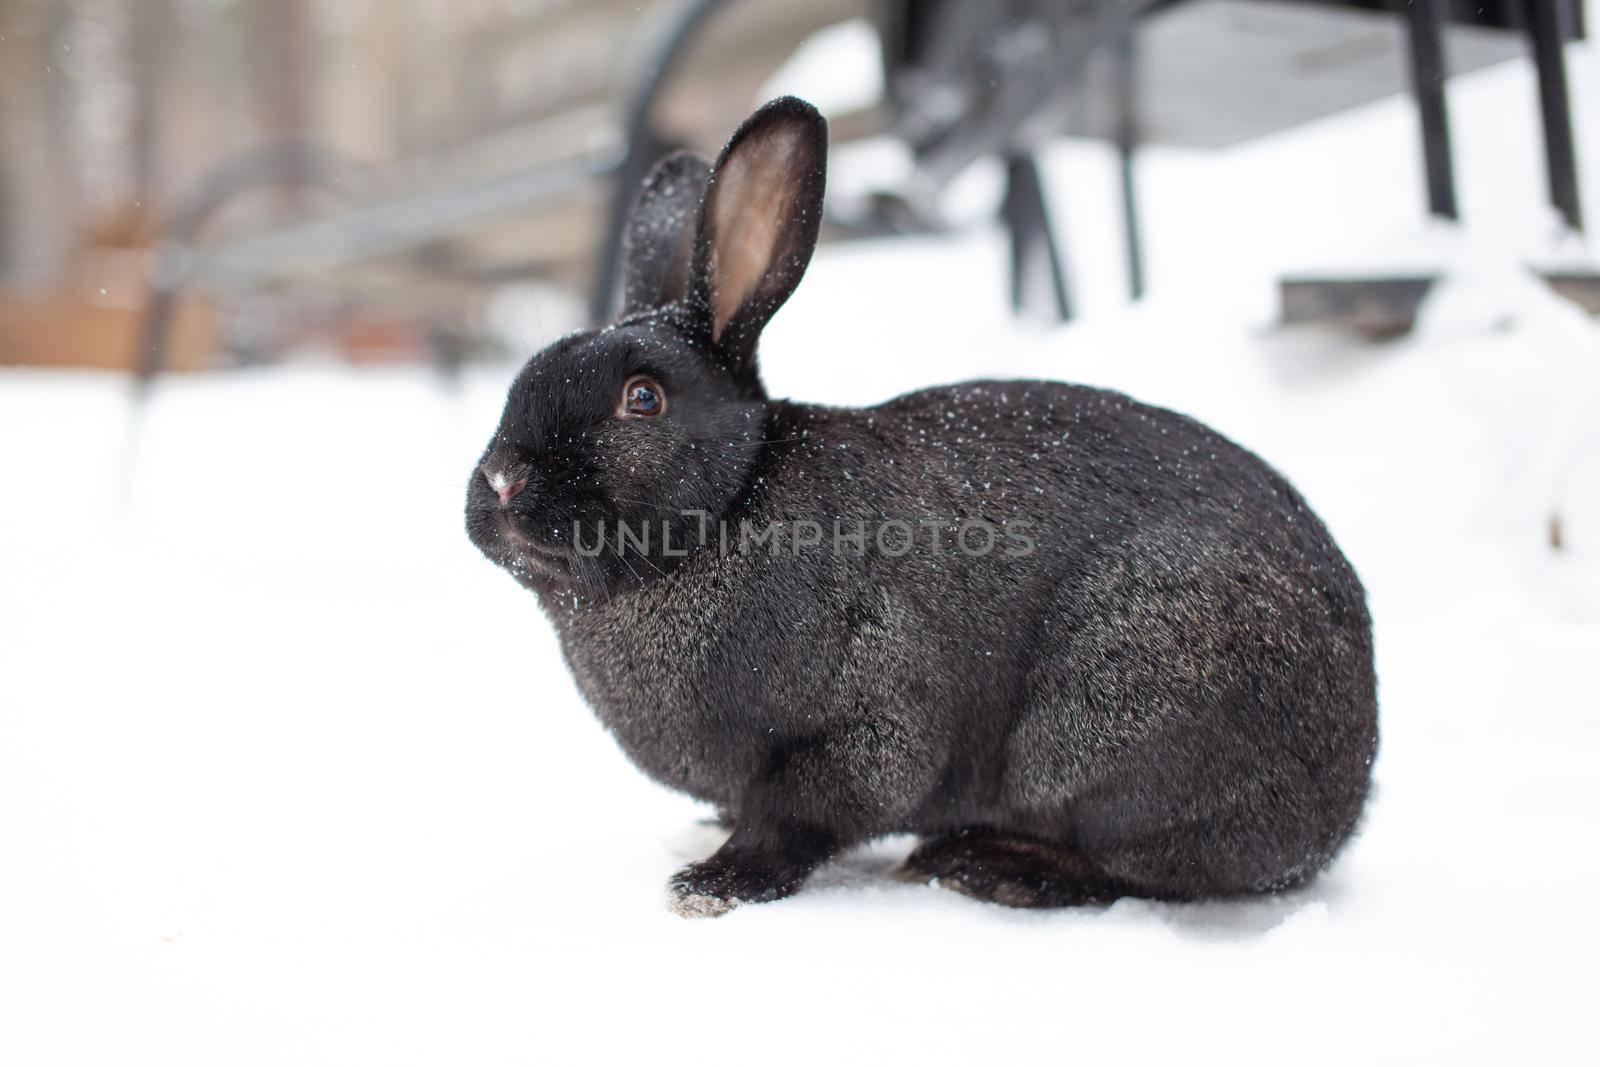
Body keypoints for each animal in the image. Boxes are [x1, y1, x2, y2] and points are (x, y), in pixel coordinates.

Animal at [464, 97, 1376, 921]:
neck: (724, 511)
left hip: (1121, 715)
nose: (501, 482)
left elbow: (803, 815)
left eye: (643, 399)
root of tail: (1346, 796)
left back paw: (988, 866)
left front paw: (712, 883)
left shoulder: (864, 720)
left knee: (1141, 870)